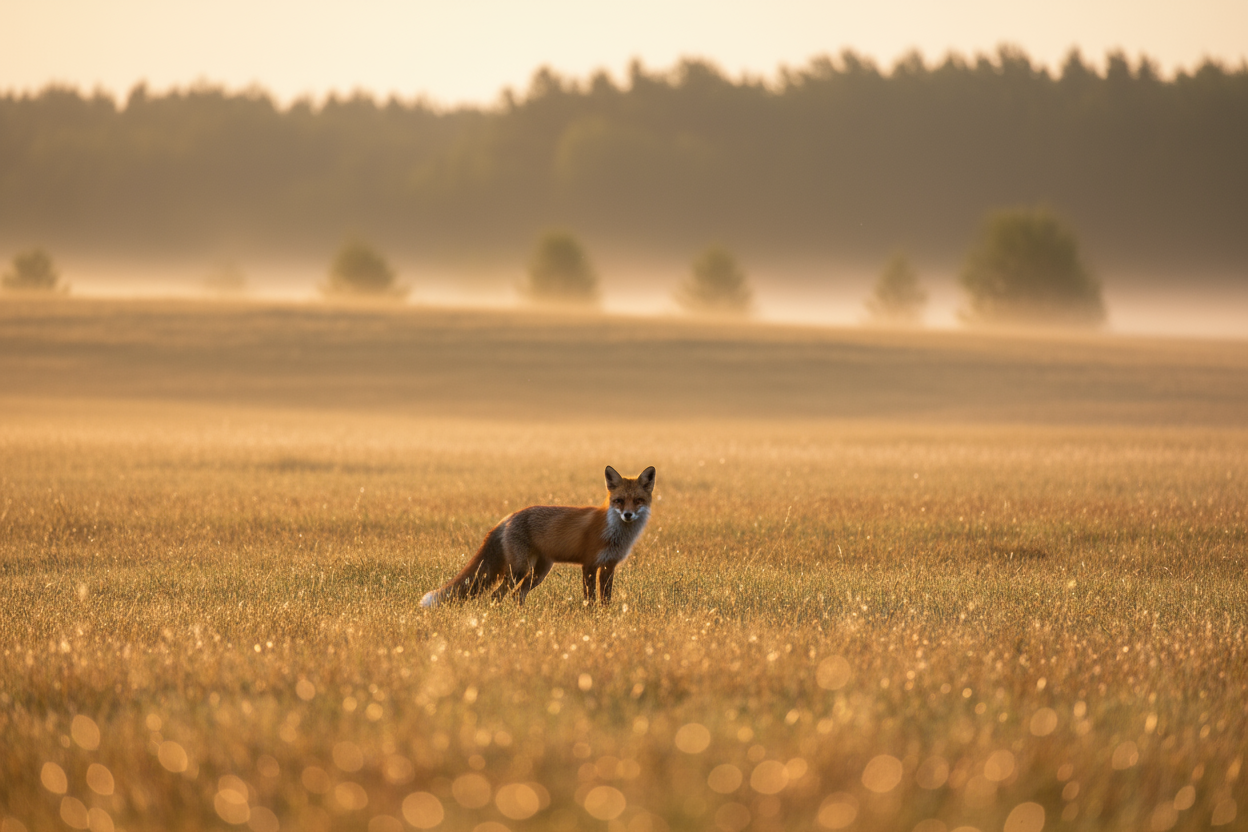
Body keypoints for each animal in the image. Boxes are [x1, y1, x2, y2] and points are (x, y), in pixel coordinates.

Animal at [420, 465, 655, 607]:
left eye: (638, 500)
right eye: (619, 501)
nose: (627, 515)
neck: (614, 534)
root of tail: (508, 516)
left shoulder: (608, 566)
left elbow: (605, 599)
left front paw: (604, 617)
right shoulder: (589, 564)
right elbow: (589, 598)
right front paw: (591, 618)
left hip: (539, 572)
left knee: (516, 595)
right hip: (519, 570)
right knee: (498, 594)